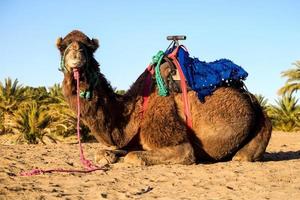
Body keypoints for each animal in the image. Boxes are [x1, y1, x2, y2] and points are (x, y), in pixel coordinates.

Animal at [56, 29, 272, 164]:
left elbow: (134, 157)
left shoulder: (175, 140)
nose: (76, 53)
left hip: (262, 124)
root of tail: (252, 99)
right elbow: (103, 152)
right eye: (62, 46)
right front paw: (107, 155)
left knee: (242, 156)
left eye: (88, 47)